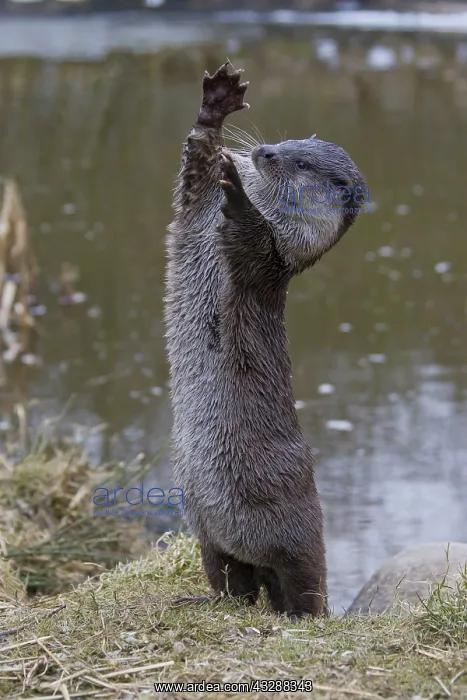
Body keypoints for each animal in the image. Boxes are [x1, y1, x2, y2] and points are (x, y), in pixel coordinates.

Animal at [165, 62, 365, 618]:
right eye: (286, 139)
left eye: (299, 161)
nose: (264, 153)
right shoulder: (195, 204)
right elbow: (195, 162)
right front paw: (215, 104)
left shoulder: (271, 257)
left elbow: (251, 237)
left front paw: (237, 193)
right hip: (208, 531)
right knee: (233, 579)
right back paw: (203, 597)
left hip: (292, 526)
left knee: (302, 580)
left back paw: (300, 614)